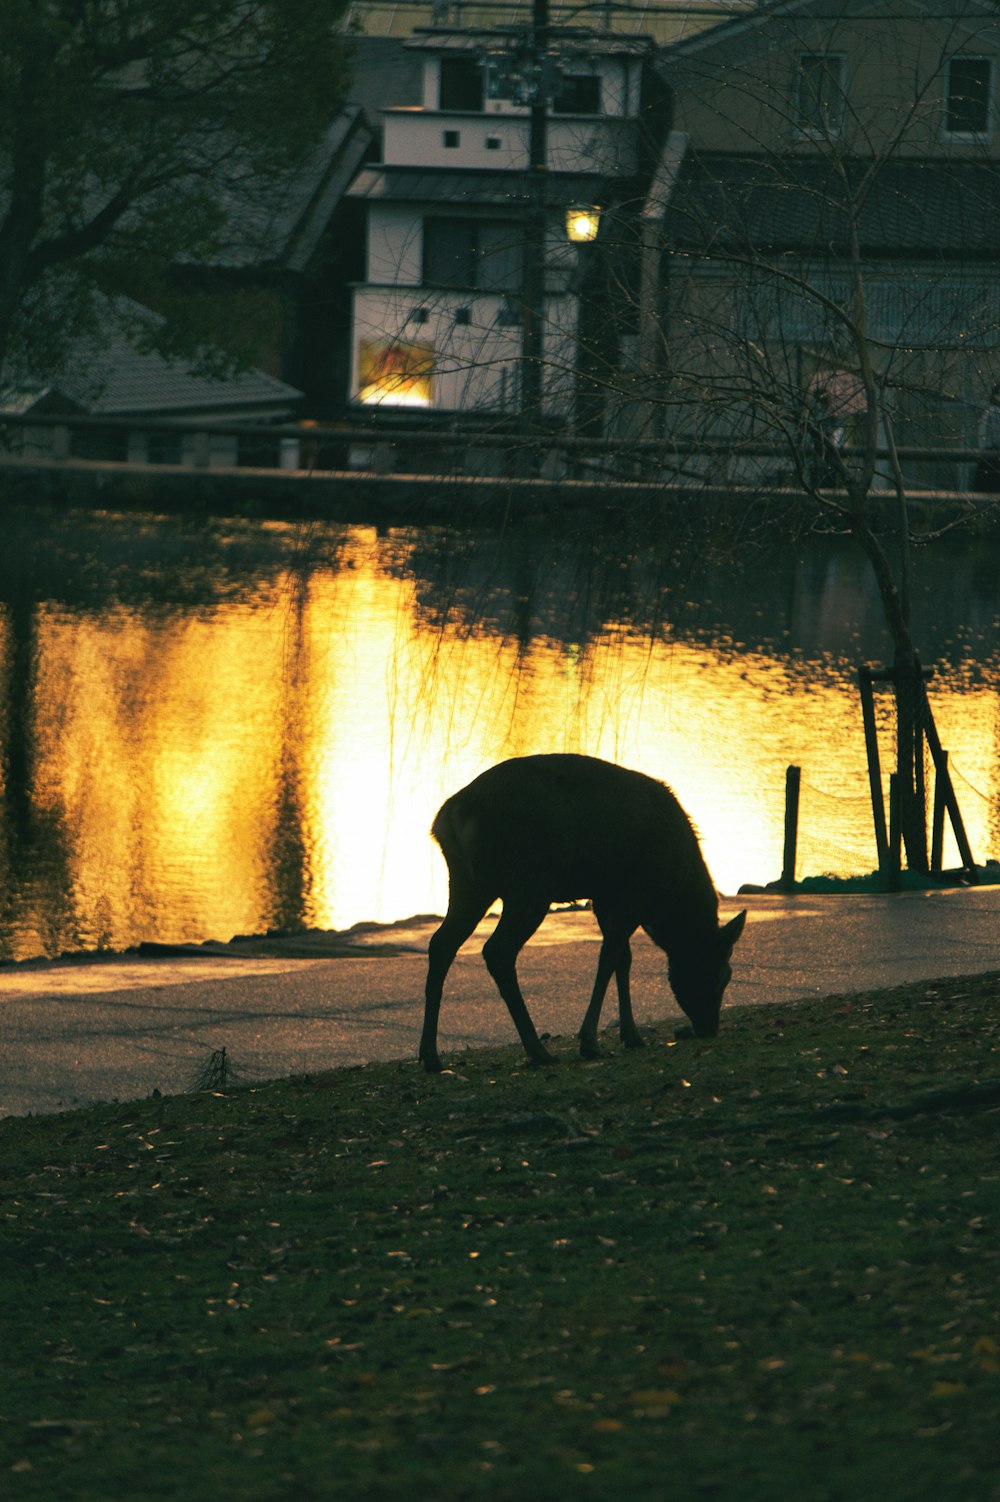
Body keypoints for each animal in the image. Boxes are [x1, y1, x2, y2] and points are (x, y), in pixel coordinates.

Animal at [417, 757, 744, 1075]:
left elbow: (623, 958)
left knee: (441, 944)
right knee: (497, 950)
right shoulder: (634, 890)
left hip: (469, 883)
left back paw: (430, 1057)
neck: (673, 891)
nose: (709, 1028)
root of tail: (447, 819)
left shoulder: (605, 895)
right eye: (722, 974)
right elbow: (609, 956)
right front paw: (589, 1042)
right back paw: (538, 1051)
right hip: (529, 885)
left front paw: (631, 1036)